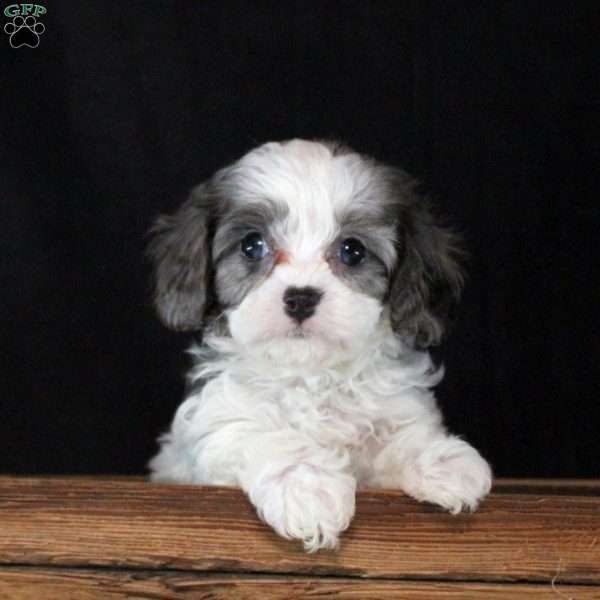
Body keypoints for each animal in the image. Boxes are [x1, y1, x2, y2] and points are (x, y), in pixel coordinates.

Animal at [146, 138, 492, 552]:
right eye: (251, 246)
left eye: (352, 251)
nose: (300, 298)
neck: (312, 375)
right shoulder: (218, 429)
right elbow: (260, 433)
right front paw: (305, 485)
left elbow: (400, 434)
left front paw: (441, 459)